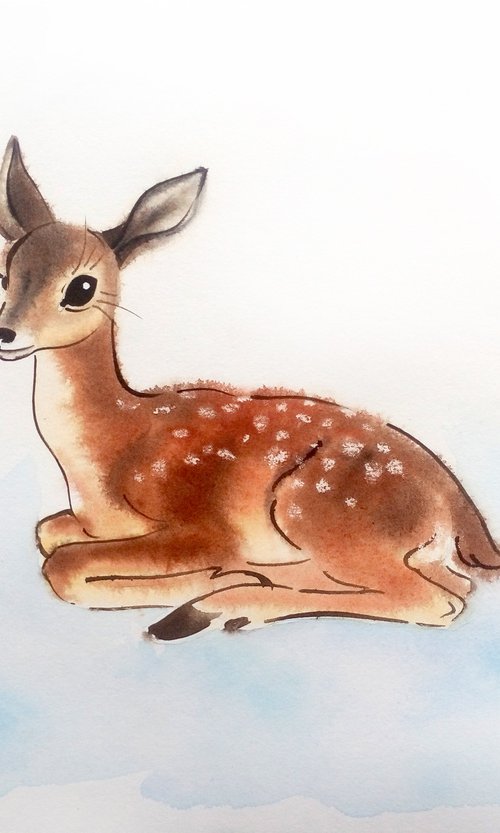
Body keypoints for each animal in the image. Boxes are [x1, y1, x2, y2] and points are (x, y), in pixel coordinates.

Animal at [0, 136, 497, 640]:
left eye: (81, 287)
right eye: (5, 274)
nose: (6, 334)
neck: (114, 446)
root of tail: (459, 508)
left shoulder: (203, 526)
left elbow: (63, 568)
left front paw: (203, 581)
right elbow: (47, 533)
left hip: (319, 512)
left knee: (440, 602)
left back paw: (215, 607)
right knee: (450, 585)